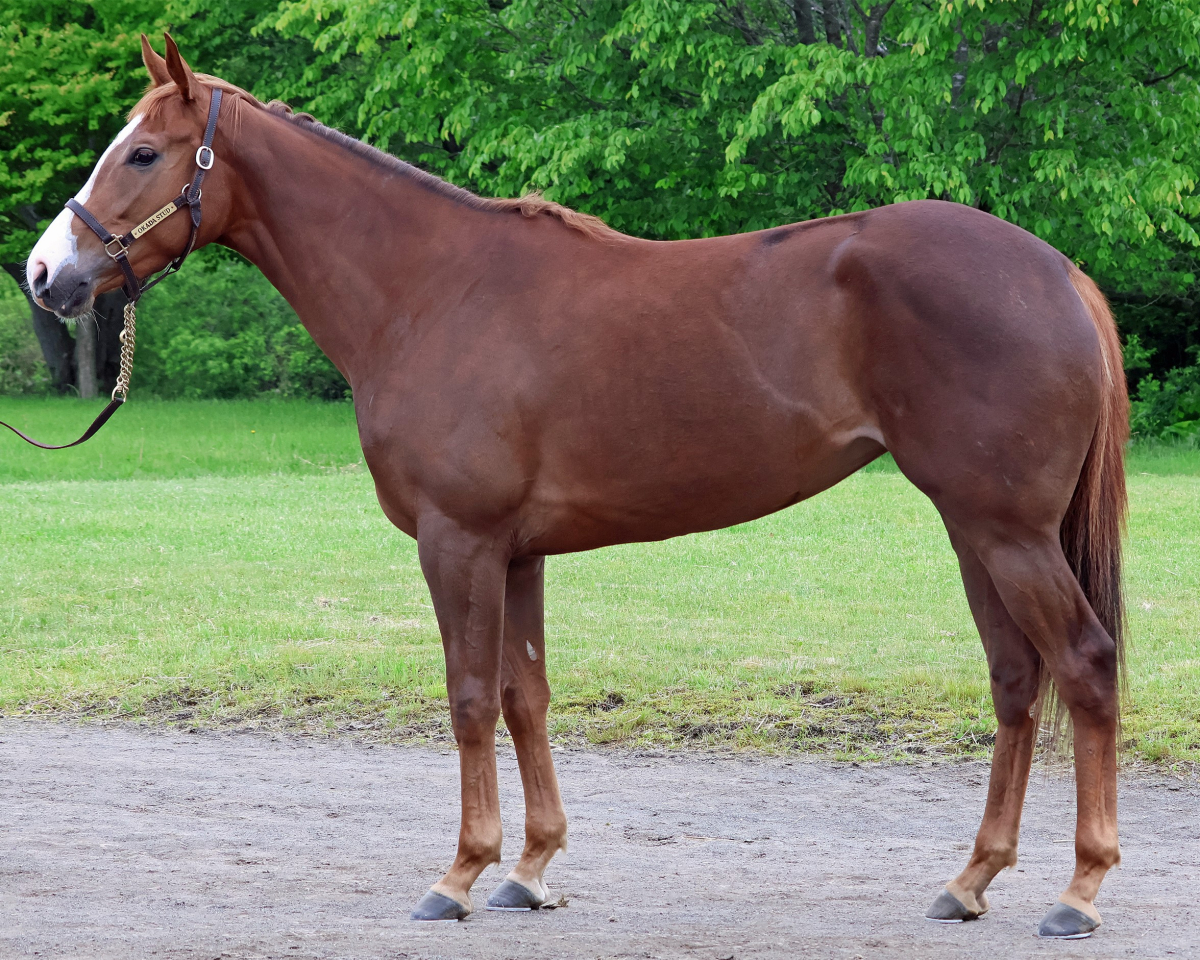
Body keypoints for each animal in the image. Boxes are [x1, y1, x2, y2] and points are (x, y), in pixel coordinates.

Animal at [26, 34, 1128, 939]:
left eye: (142, 153)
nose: (43, 274)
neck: (429, 291)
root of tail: (1061, 276)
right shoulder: (518, 553)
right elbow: (527, 695)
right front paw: (531, 869)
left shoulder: (458, 540)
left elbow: (470, 697)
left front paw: (459, 877)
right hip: (974, 528)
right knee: (1017, 681)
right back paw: (969, 881)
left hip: (1006, 529)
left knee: (1083, 664)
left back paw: (1078, 893)